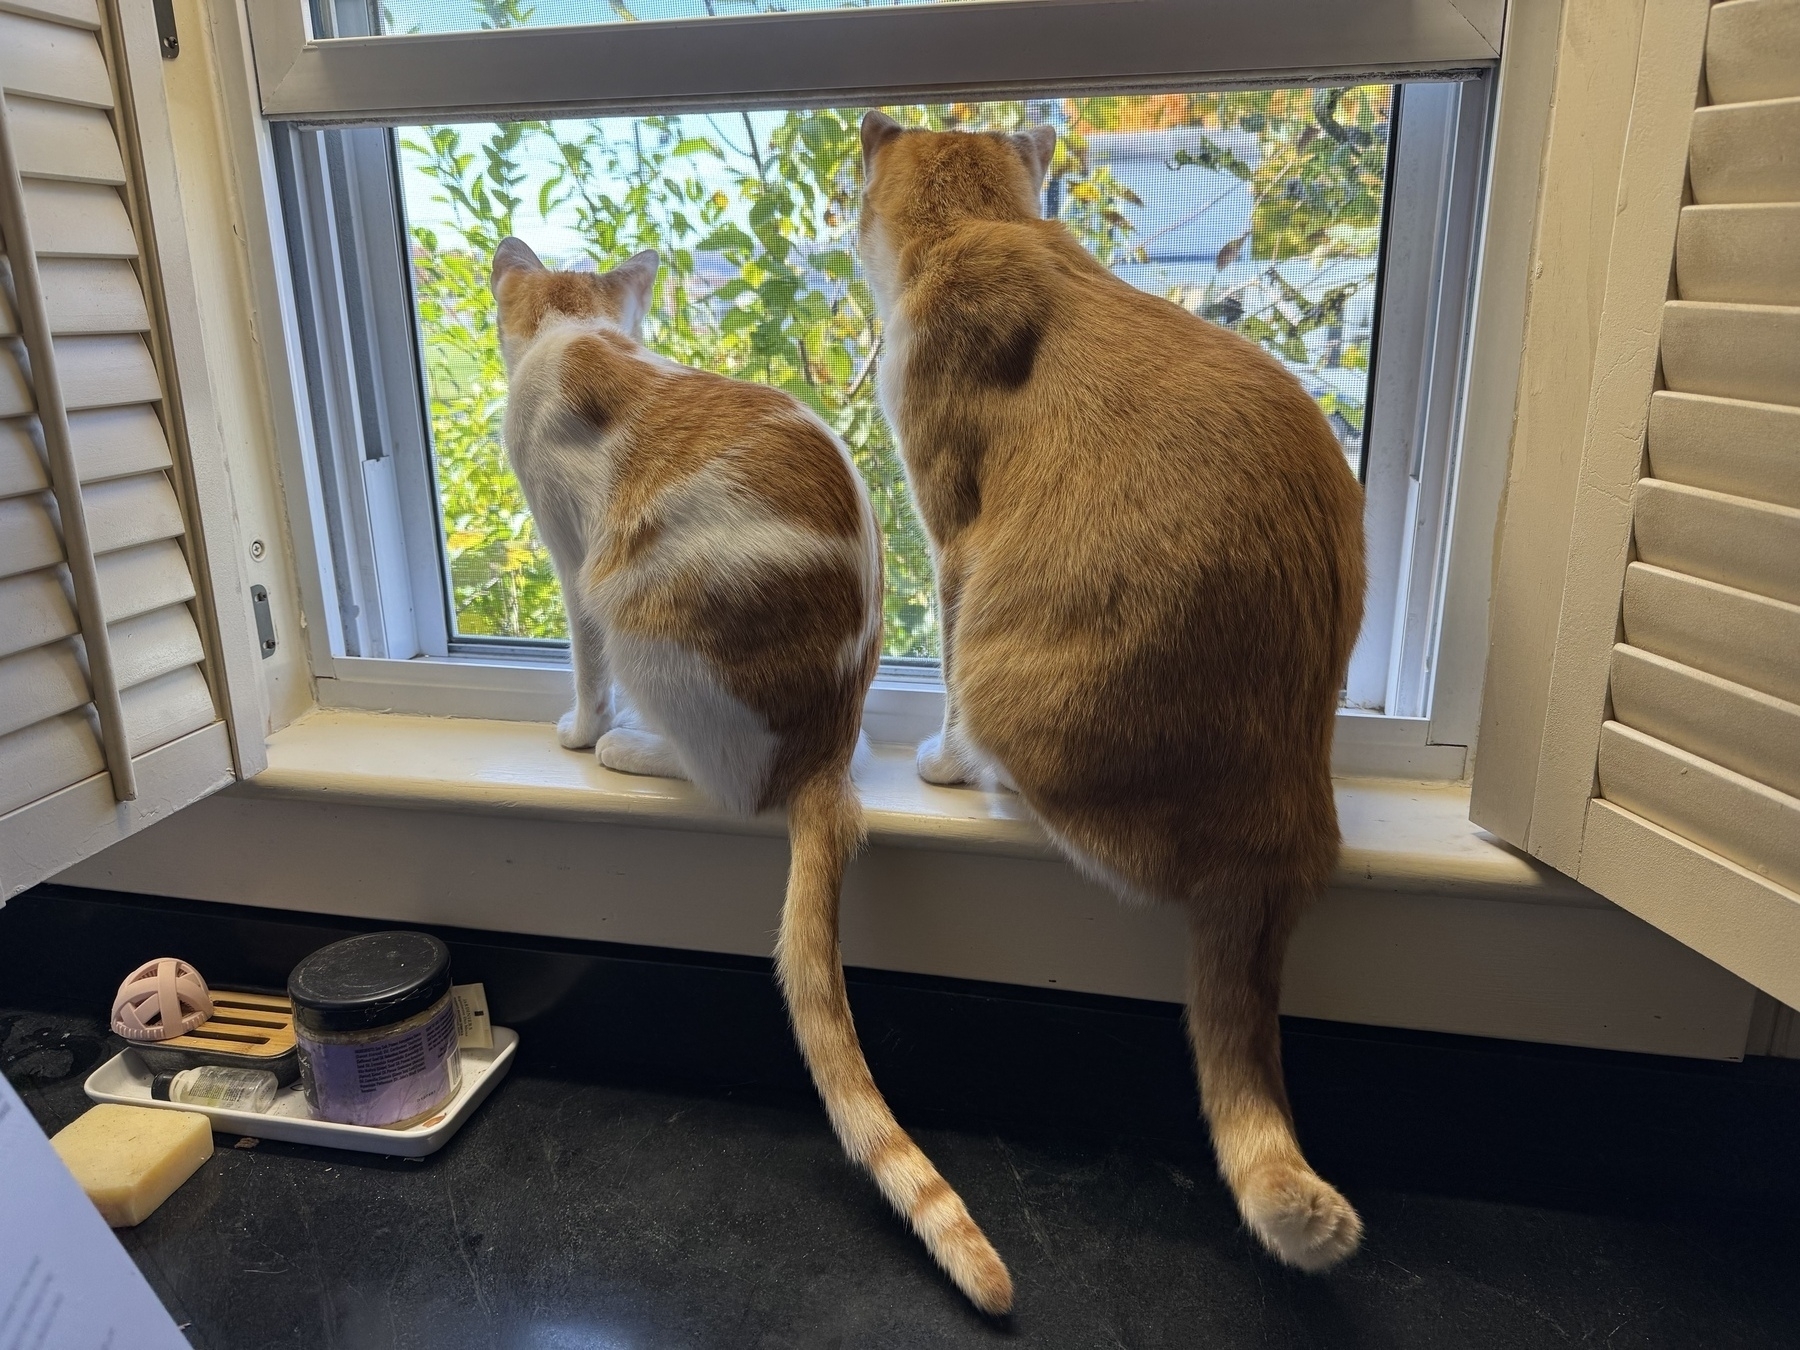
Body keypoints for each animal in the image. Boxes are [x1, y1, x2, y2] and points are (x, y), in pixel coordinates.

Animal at [493, 237, 1015, 1317]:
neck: (574, 330)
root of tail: (826, 742)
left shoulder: (571, 562)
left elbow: (581, 664)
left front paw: (581, 730)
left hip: (632, 595)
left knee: (726, 784)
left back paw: (634, 749)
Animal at [856, 111, 1360, 1281]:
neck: (985, 229)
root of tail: (1287, 830)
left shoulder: (952, 535)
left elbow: (943, 670)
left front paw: (940, 765)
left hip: (1012, 674)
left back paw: (988, 780)